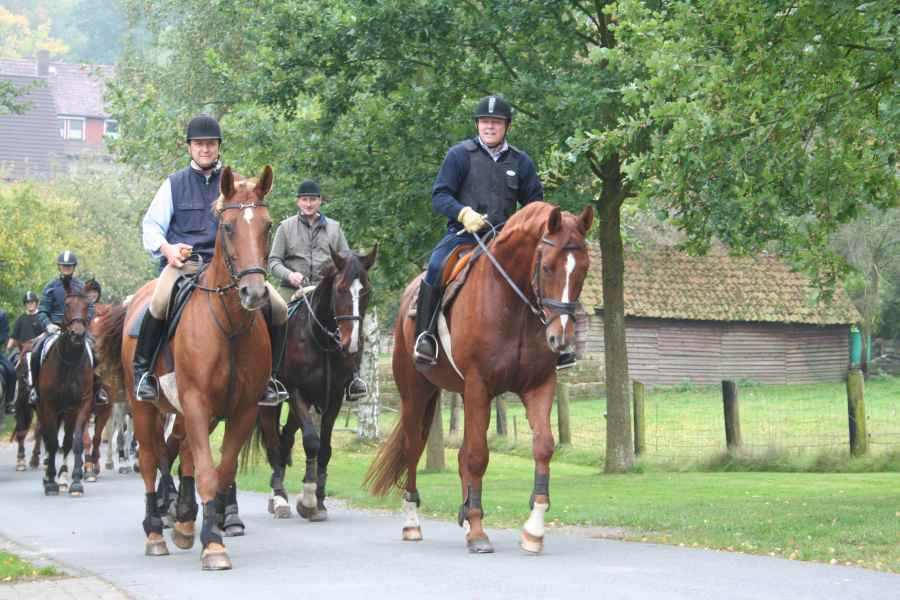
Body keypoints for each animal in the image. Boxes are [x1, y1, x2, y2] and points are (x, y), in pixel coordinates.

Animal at [35, 293, 95, 496]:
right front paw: (51, 483)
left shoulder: (80, 406)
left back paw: (62, 478)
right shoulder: (49, 406)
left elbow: (75, 442)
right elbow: (53, 442)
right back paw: (48, 478)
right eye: (67, 305)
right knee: (48, 439)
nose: (77, 334)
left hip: (67, 413)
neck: (70, 361)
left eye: (86, 306)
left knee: (66, 442)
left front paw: (75, 482)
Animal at [97, 165, 275, 571]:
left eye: (267, 225)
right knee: (150, 460)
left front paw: (208, 529)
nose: (255, 293)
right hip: (143, 407)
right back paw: (155, 532)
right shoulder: (195, 403)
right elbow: (205, 470)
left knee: (180, 454)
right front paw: (213, 546)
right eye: (228, 227)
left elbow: (221, 471)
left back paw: (182, 522)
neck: (229, 325)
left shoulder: (241, 410)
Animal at [257, 246, 377, 520]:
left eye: (366, 290)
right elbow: (311, 441)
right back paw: (279, 498)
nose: (351, 344)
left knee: (285, 439)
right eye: (340, 289)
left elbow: (325, 449)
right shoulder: (296, 392)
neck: (319, 338)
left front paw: (319, 500)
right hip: (272, 403)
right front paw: (309, 499)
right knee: (273, 443)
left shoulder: (334, 397)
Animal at [365, 201, 593, 554]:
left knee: (458, 454)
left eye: (583, 269)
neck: (513, 305)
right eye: (547, 268)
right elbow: (477, 457)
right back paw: (413, 523)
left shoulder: (538, 386)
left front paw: (533, 530)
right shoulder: (479, 386)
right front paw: (477, 532)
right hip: (416, 393)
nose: (561, 339)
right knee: (414, 448)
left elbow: (542, 446)